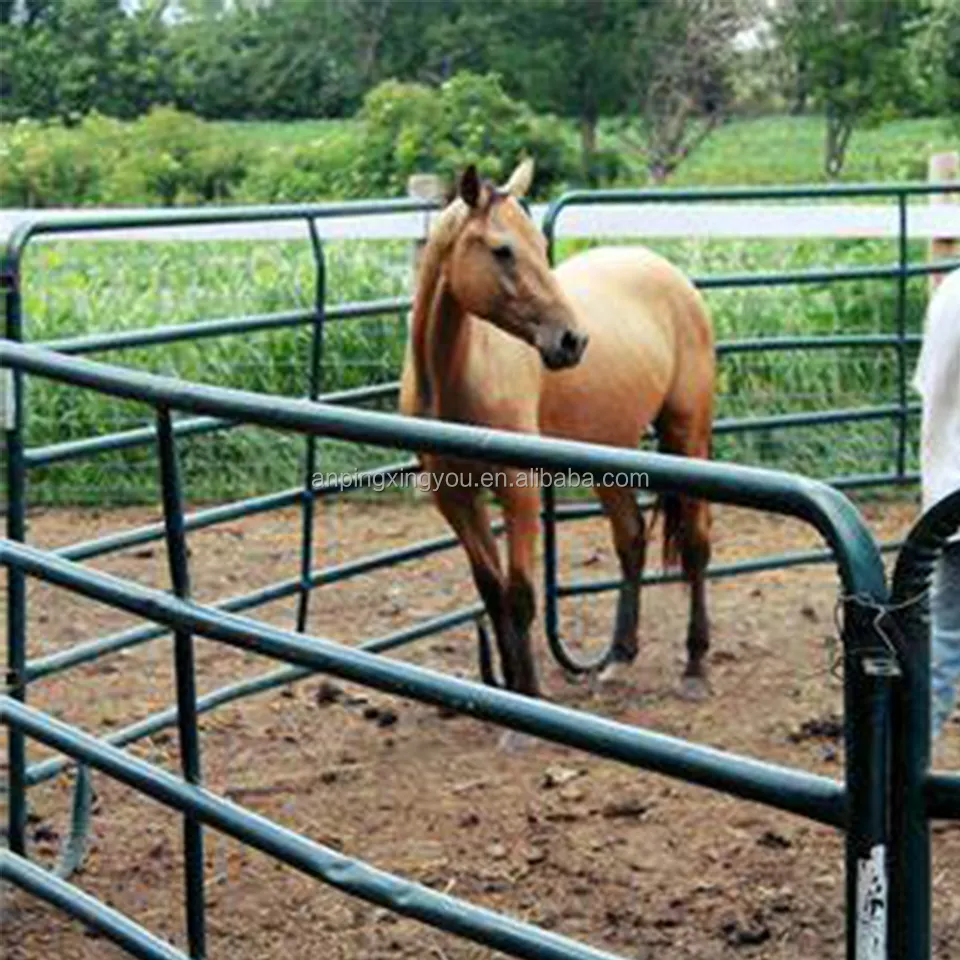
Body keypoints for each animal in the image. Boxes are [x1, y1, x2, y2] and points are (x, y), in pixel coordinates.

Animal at [402, 156, 716, 696]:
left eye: (539, 245)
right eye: (502, 250)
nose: (572, 340)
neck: (455, 376)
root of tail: (670, 274)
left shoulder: (520, 488)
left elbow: (521, 596)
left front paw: (527, 697)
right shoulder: (454, 495)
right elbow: (493, 592)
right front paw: (509, 687)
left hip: (686, 436)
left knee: (695, 543)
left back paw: (695, 663)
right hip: (610, 453)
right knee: (631, 538)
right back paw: (619, 656)